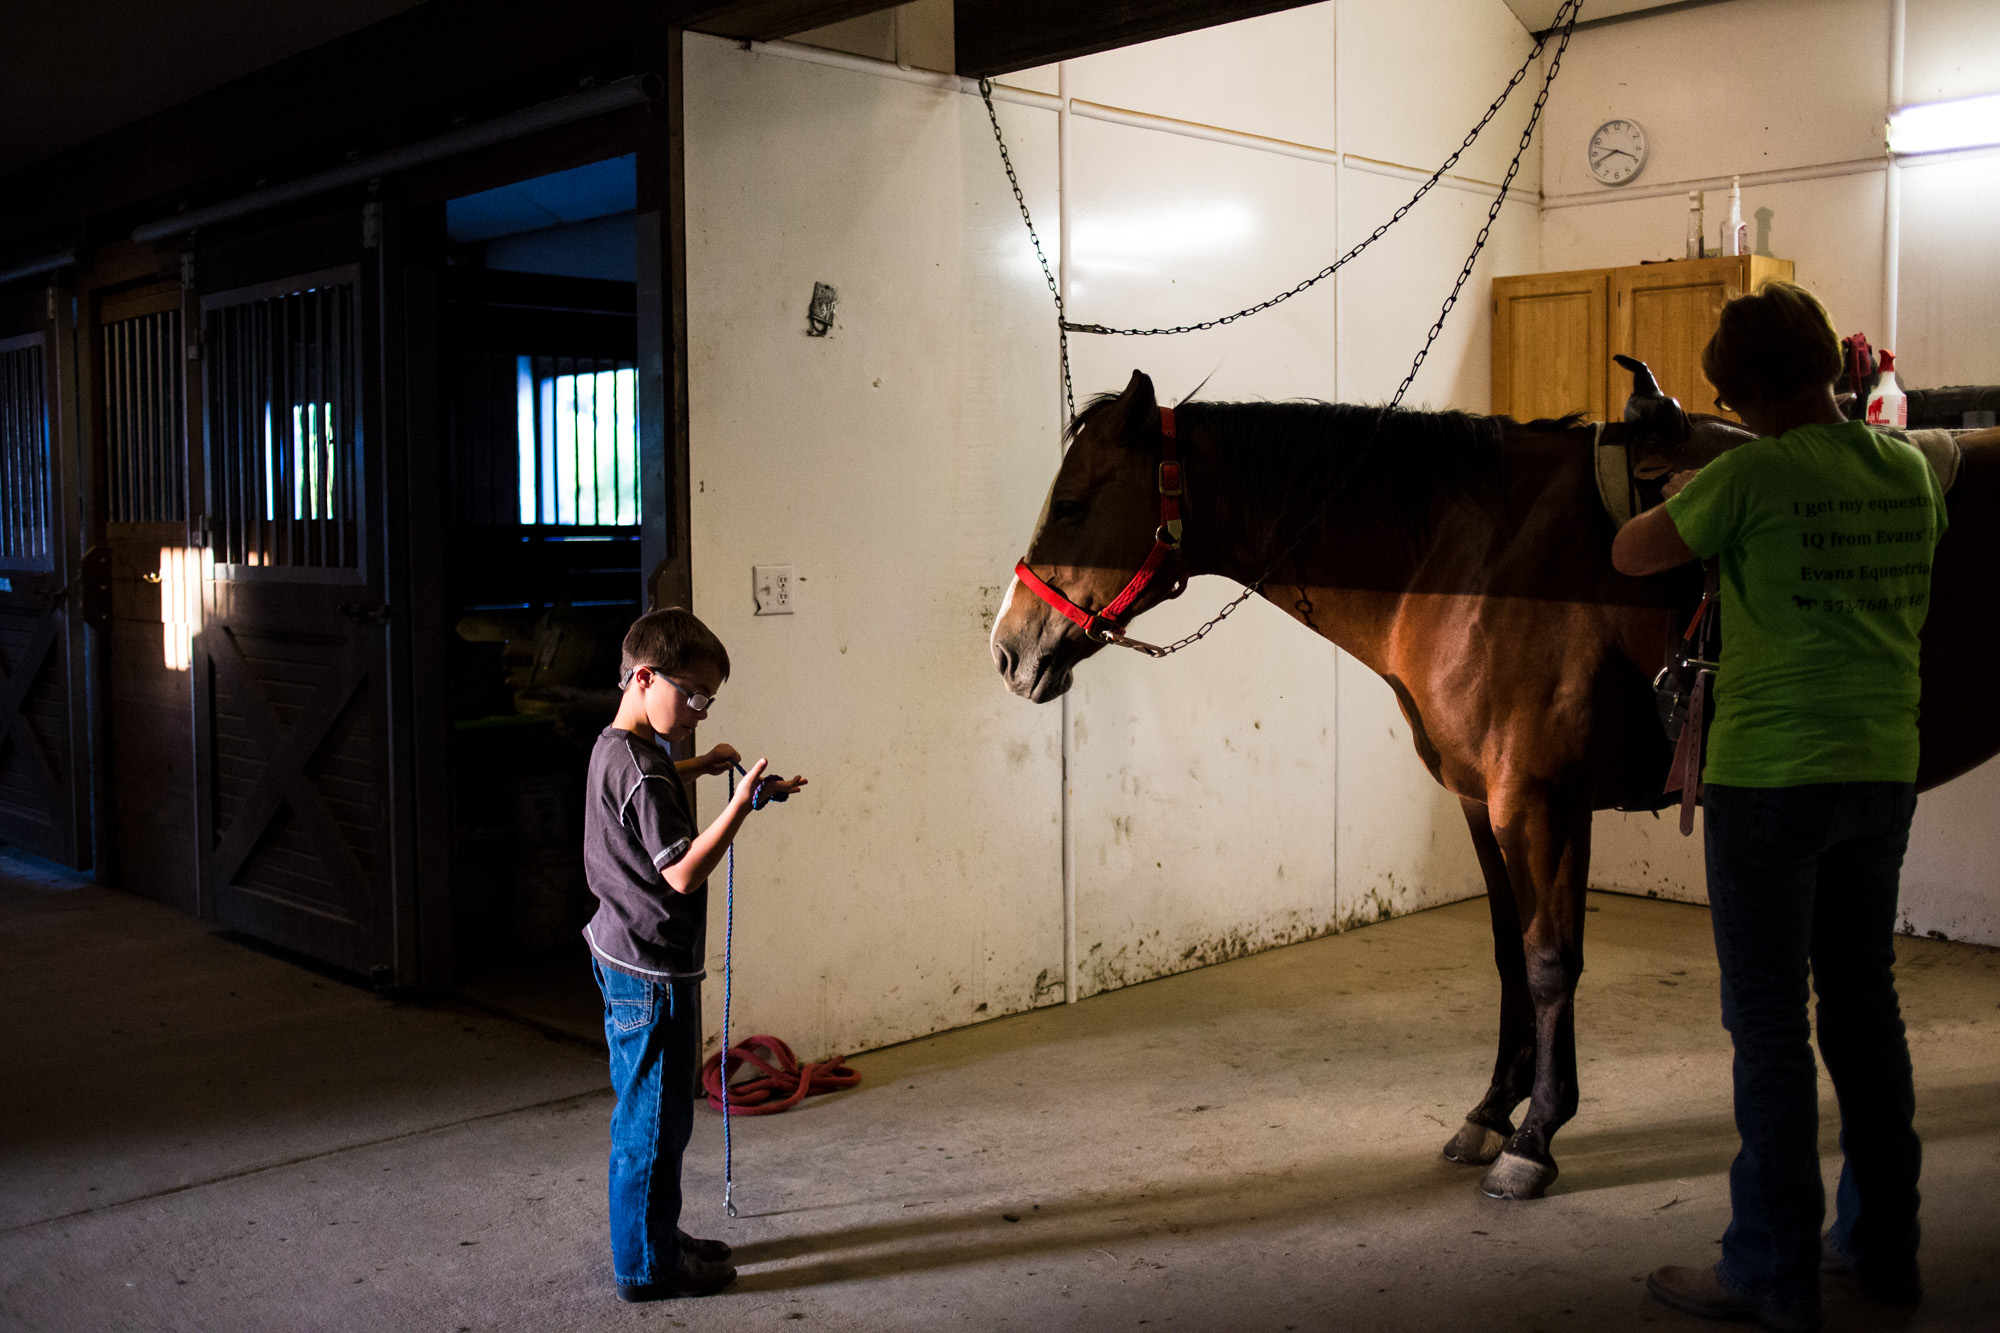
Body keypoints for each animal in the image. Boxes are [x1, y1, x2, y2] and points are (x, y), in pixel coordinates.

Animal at [988, 368, 2000, 1200]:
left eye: (1073, 504)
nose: (1009, 649)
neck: (1470, 556)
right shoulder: (1488, 802)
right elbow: (1515, 953)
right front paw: (1491, 1110)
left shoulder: (1540, 802)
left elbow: (1552, 959)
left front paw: (1537, 1136)